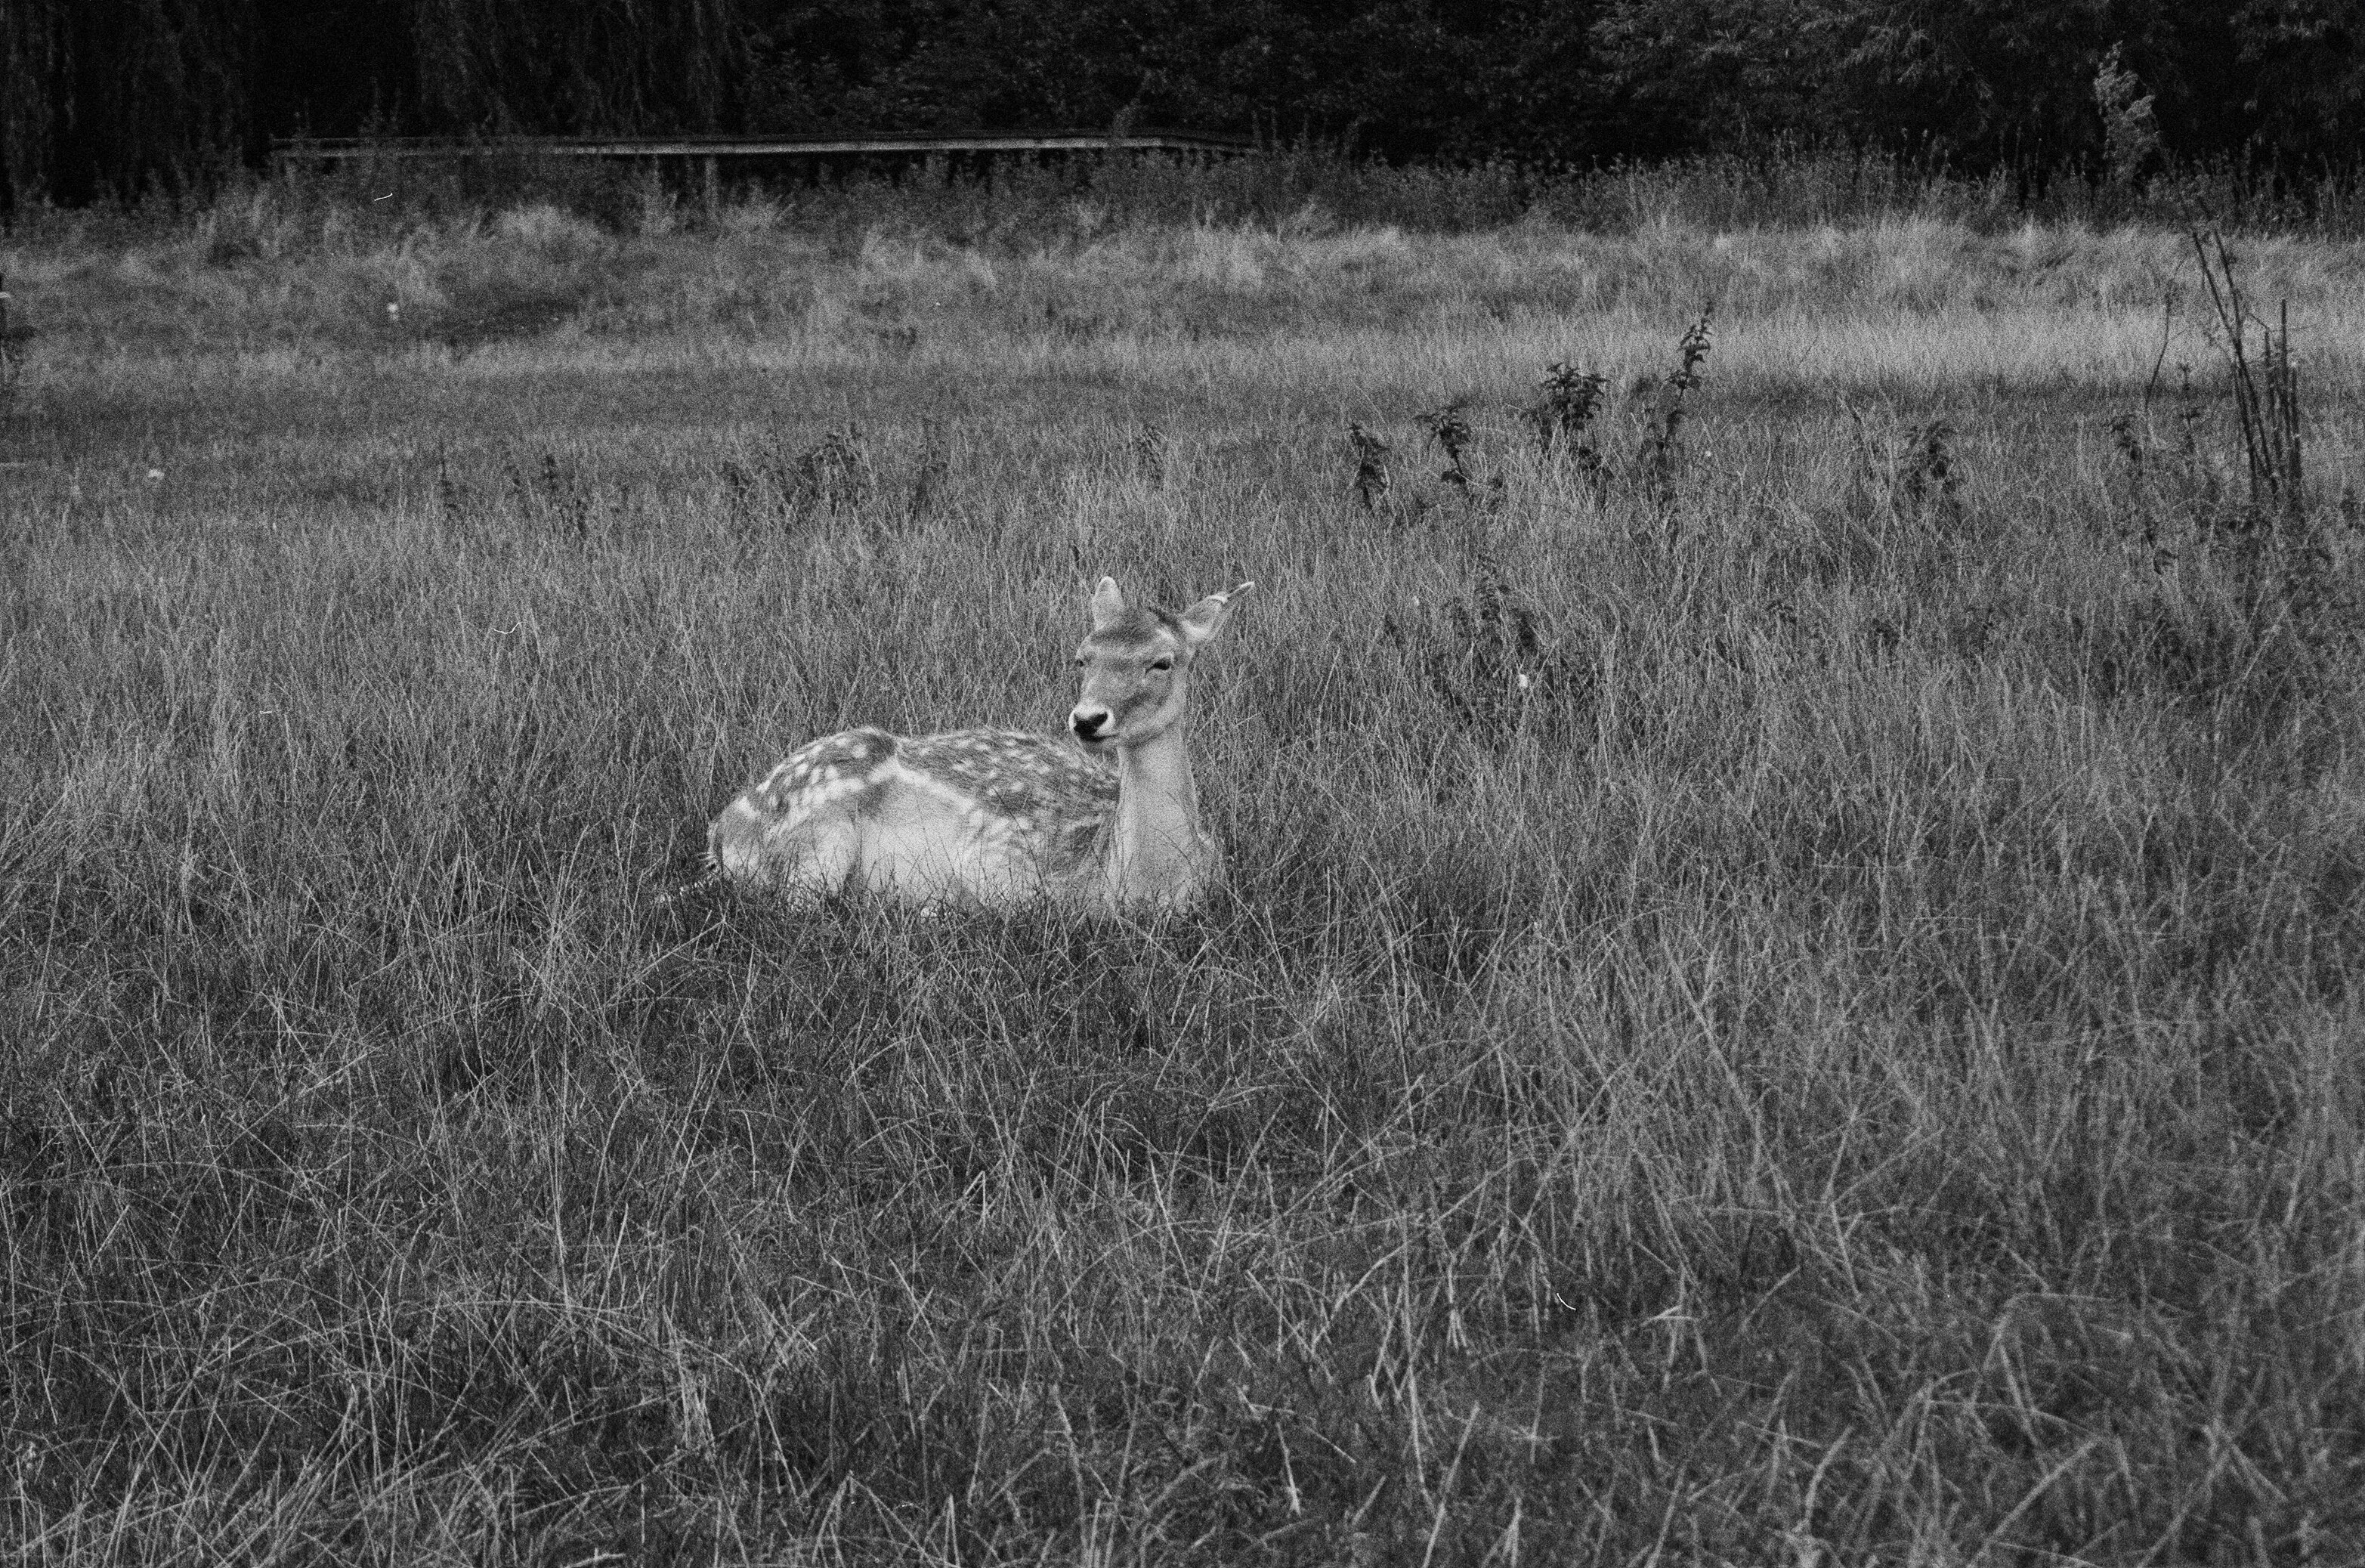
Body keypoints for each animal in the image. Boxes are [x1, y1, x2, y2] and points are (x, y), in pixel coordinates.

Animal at [705, 577, 1252, 912]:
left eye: (1163, 661)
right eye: (1082, 657)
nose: (1088, 719)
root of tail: (722, 830)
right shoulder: (1004, 860)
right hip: (816, 844)